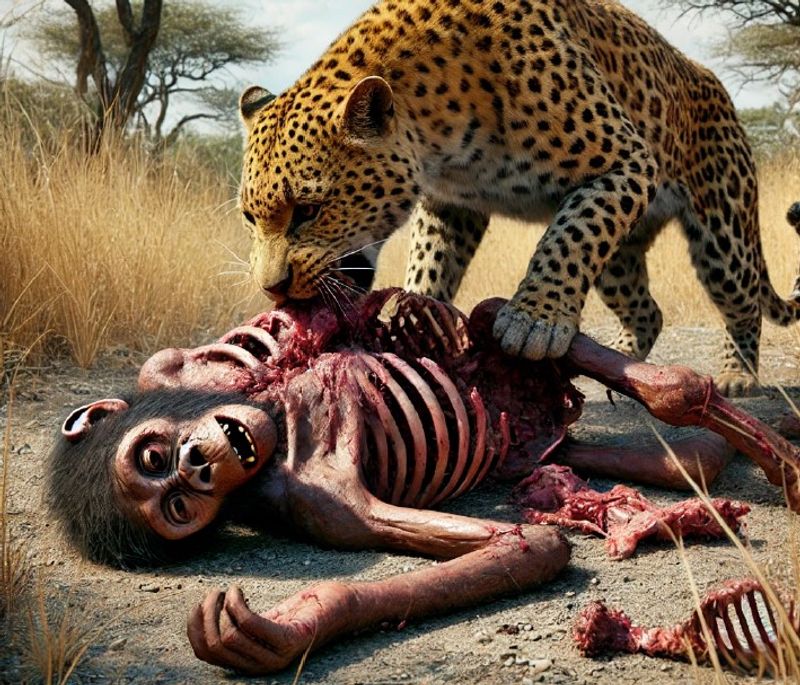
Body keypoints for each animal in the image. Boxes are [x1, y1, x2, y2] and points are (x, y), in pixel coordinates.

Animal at [237, 0, 800, 397]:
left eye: (309, 210)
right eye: (249, 217)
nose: (273, 289)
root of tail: (714, 83)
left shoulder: (625, 161)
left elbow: (567, 240)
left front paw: (534, 320)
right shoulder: (453, 202)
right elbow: (431, 258)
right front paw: (415, 310)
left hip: (722, 234)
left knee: (743, 300)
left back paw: (736, 374)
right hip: (619, 260)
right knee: (648, 310)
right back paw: (621, 361)